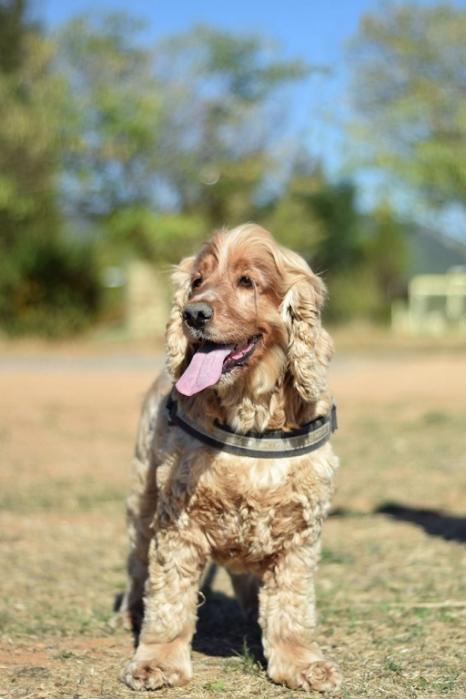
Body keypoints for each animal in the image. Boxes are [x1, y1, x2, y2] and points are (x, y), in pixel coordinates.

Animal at [119, 226, 342, 696]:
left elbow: (292, 605)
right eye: (197, 280)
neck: (250, 414)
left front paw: (302, 663)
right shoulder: (177, 520)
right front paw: (156, 662)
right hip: (141, 501)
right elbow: (168, 599)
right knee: (137, 567)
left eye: (247, 281)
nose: (193, 314)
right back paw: (130, 612)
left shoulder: (299, 530)